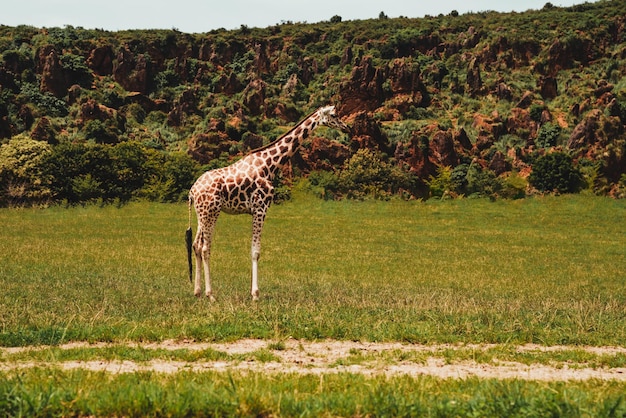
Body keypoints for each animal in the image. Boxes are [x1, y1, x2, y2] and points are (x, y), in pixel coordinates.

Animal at [185, 105, 352, 300]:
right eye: (334, 115)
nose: (347, 127)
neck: (270, 164)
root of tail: (192, 191)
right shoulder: (260, 207)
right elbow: (255, 251)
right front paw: (255, 294)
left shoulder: (258, 209)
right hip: (211, 212)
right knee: (205, 248)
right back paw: (210, 295)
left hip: (201, 213)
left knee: (196, 246)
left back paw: (197, 292)